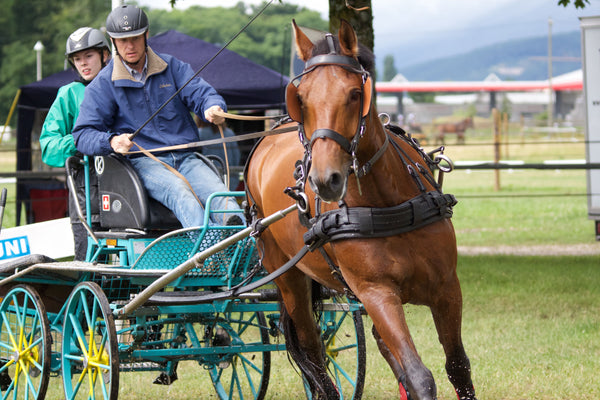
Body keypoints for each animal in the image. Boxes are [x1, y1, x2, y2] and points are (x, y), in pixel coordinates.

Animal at [245, 21, 478, 400]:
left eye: (356, 93)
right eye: (301, 99)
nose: (325, 179)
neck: (388, 205)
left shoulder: (446, 288)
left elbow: (457, 366)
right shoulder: (376, 293)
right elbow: (419, 375)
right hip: (288, 278)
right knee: (313, 352)